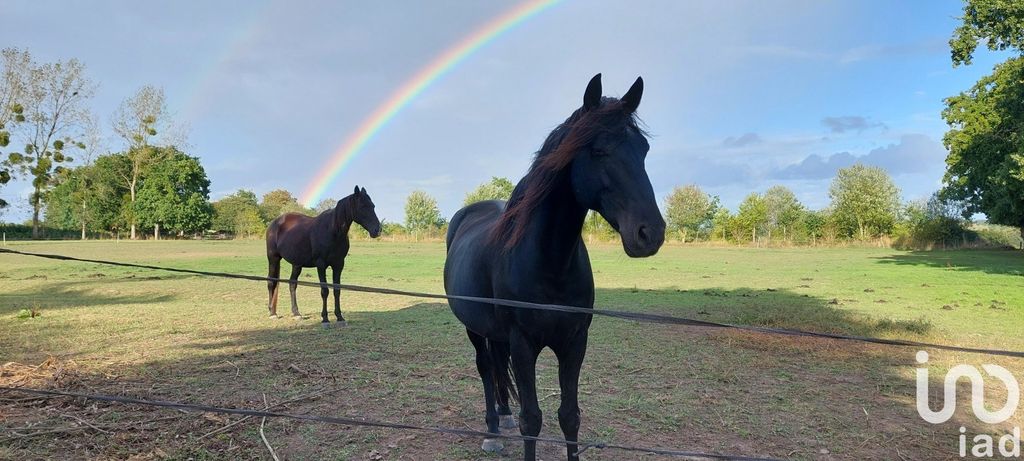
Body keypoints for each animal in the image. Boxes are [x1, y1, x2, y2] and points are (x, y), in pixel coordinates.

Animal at [266, 185, 382, 325]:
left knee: (292, 284)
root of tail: (275, 223)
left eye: (373, 206)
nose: (378, 230)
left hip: (296, 264)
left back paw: (296, 313)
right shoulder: (321, 265)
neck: (332, 230)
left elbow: (337, 290)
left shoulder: (338, 264)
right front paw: (325, 318)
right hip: (273, 259)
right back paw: (272, 313)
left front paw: (339, 317)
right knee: (271, 282)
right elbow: (324, 291)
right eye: (363, 206)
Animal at [444, 73, 667, 458]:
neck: (549, 263)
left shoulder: (575, 341)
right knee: (486, 368)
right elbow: (531, 419)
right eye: (599, 150)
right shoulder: (523, 344)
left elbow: (569, 416)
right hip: (473, 327)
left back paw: (502, 416)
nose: (649, 233)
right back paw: (492, 429)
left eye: (644, 150)